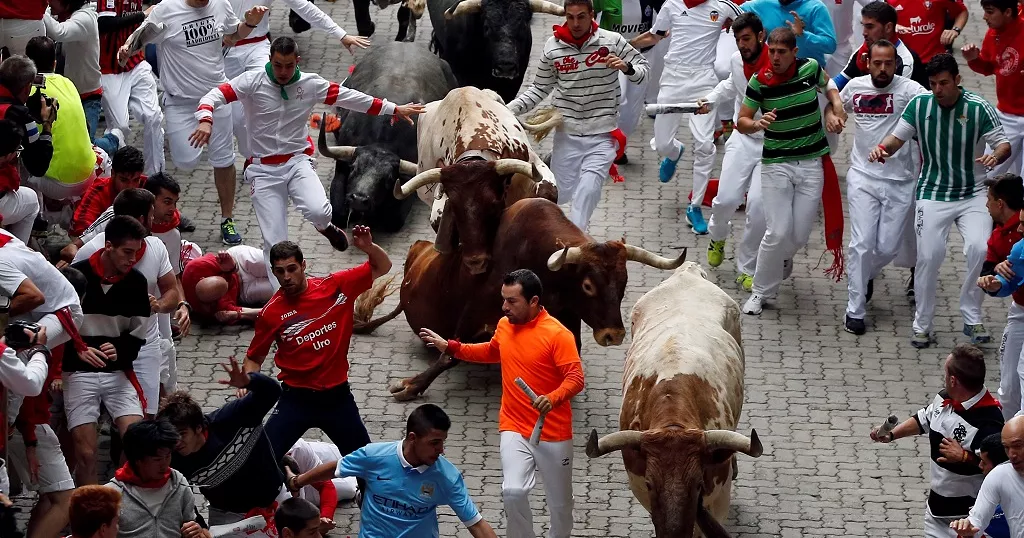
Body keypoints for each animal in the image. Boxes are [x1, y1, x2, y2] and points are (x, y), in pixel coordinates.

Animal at [321, 43, 454, 231]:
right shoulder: (341, 168)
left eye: (389, 178)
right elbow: (338, 213)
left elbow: (392, 220)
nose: (359, 199)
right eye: (354, 168)